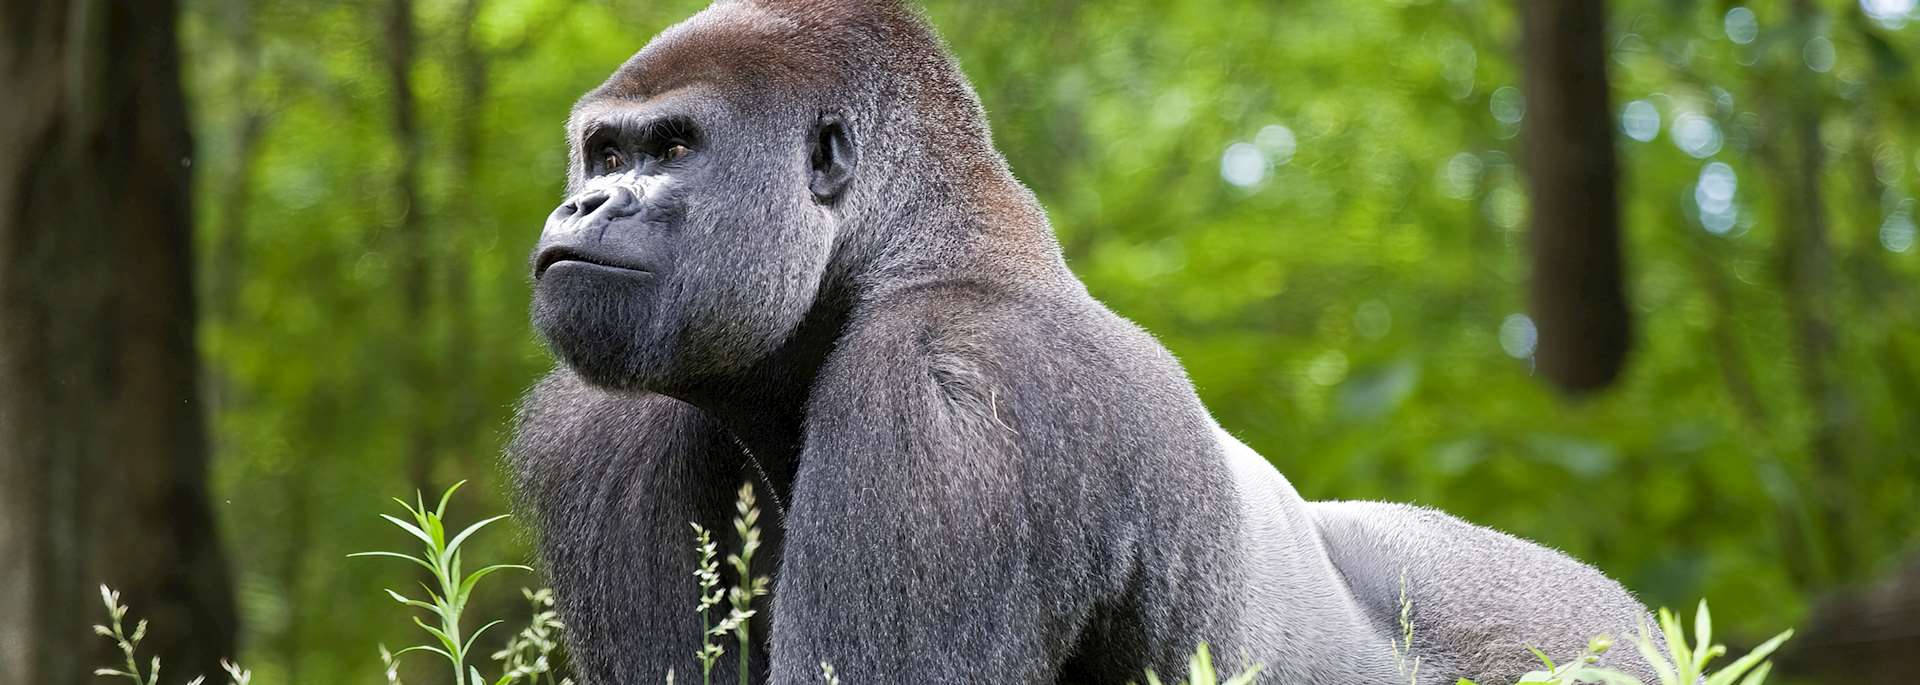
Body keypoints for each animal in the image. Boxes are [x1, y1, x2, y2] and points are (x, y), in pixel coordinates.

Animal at [509, 1, 1661, 683]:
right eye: (603, 153)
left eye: (673, 148)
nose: (586, 205)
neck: (910, 249)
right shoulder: (606, 432)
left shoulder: (947, 394)